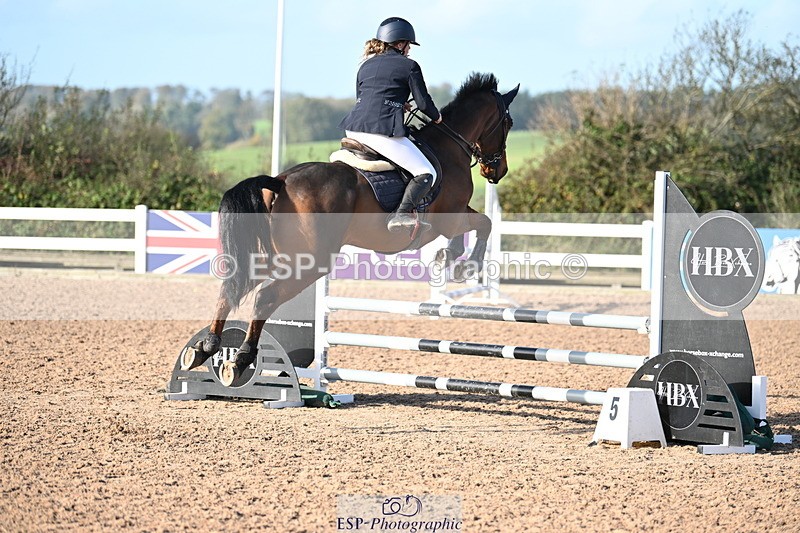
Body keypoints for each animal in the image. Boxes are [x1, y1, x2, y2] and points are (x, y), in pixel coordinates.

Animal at [185, 72, 520, 386]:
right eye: (508, 122)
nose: (497, 170)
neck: (449, 146)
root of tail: (280, 181)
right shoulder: (449, 218)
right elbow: (483, 224)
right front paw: (463, 263)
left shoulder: (454, 216)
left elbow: (479, 224)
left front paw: (451, 259)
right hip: (310, 261)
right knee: (265, 296)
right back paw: (241, 358)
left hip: (273, 256)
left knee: (230, 289)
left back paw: (204, 348)